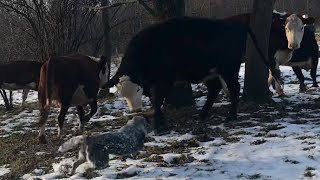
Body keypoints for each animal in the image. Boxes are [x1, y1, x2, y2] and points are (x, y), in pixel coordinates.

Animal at [102, 16, 280, 134]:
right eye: (123, 95)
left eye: (138, 89)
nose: (136, 109)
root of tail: (234, 23)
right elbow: (155, 100)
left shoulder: (163, 80)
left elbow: (158, 100)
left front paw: (160, 125)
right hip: (211, 72)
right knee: (214, 89)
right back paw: (202, 115)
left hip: (228, 69)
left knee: (234, 89)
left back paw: (231, 117)